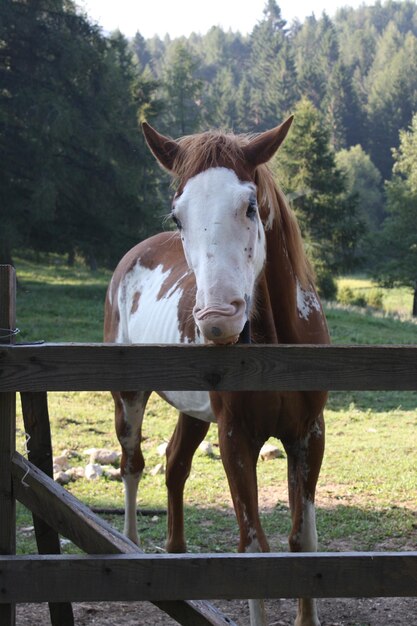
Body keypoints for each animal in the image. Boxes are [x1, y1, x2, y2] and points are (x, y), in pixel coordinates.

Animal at [103, 118, 328, 624]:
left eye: (250, 205)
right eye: (177, 217)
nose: (217, 319)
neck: (274, 354)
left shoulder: (308, 435)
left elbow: (302, 542)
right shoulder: (235, 438)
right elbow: (253, 545)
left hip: (193, 413)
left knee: (174, 465)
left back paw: (177, 553)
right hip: (129, 397)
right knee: (133, 463)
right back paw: (129, 543)